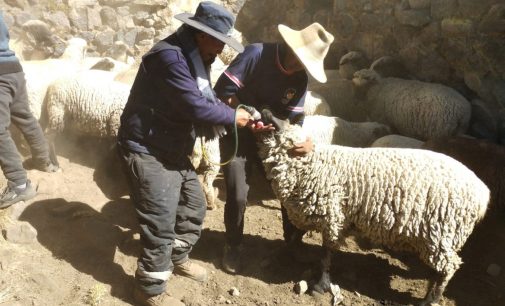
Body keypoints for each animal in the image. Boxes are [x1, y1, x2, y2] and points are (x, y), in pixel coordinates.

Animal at [256, 110, 488, 306]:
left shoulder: (332, 216)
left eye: (279, 121)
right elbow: (296, 236)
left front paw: (321, 285)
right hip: (440, 237)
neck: (310, 164)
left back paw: (431, 299)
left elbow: (326, 254)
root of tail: (482, 193)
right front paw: (284, 254)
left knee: (448, 268)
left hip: (443, 233)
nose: (265, 111)